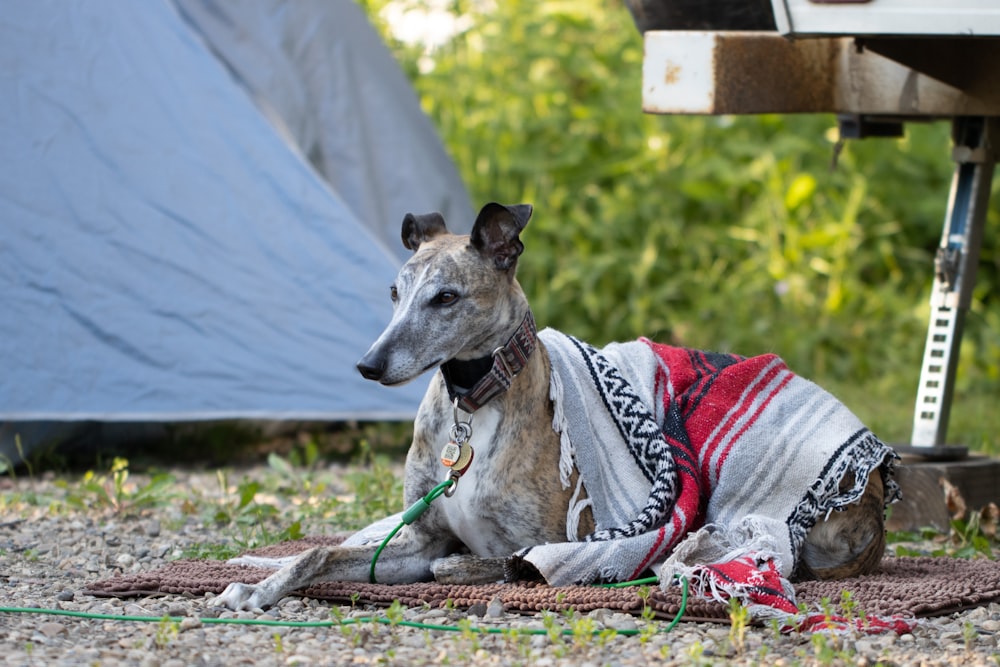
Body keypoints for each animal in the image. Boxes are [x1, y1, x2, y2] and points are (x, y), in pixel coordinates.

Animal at [215, 202, 888, 612]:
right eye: (395, 292)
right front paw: (259, 587)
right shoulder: (420, 537)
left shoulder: (550, 543)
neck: (472, 407)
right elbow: (320, 551)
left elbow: (486, 565)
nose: (368, 365)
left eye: (446, 296)